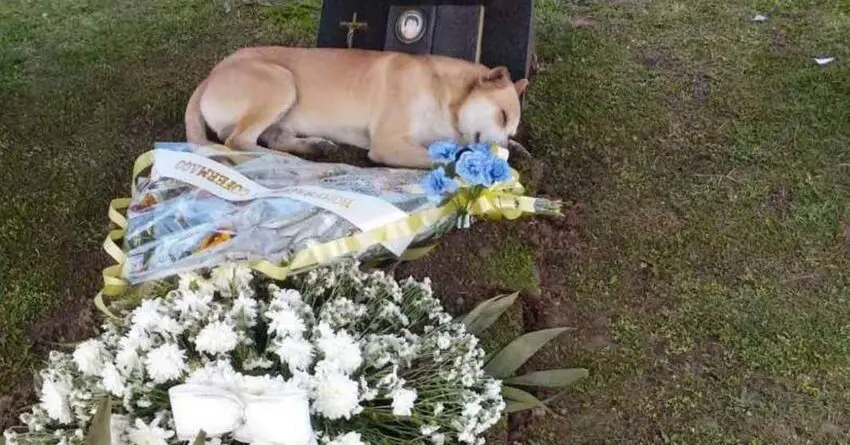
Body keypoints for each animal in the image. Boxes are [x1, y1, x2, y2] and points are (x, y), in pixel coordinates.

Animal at [186, 46, 528, 168]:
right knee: (239, 141)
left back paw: (313, 146)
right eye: (502, 115)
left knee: (267, 137)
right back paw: (288, 160)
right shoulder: (388, 144)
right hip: (282, 82)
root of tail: (211, 75)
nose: (504, 149)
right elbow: (446, 158)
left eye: (511, 130)